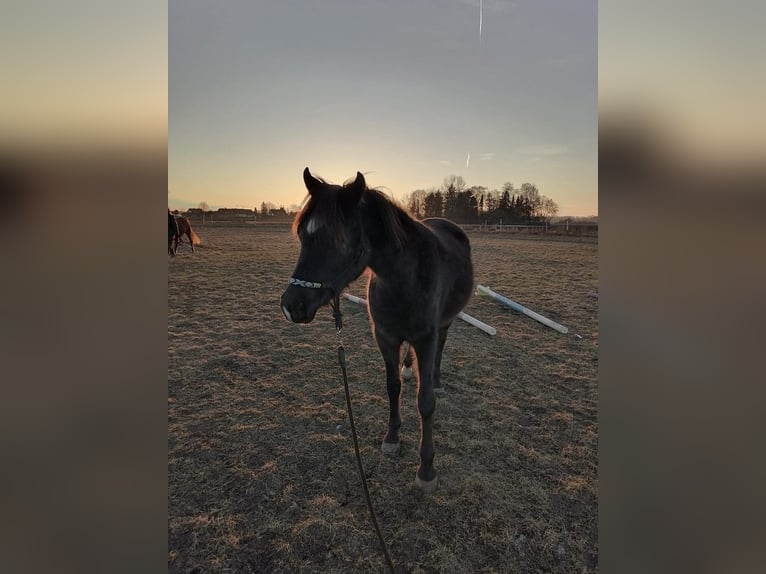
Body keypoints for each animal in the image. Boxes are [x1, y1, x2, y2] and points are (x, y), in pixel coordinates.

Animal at [280, 168, 474, 492]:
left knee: (441, 347)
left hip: (445, 322)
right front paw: (392, 437)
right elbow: (392, 386)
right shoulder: (385, 337)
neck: (403, 279)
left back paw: (435, 378)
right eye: (302, 235)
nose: (292, 305)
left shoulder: (425, 338)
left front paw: (426, 469)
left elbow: (425, 402)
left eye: (339, 240)